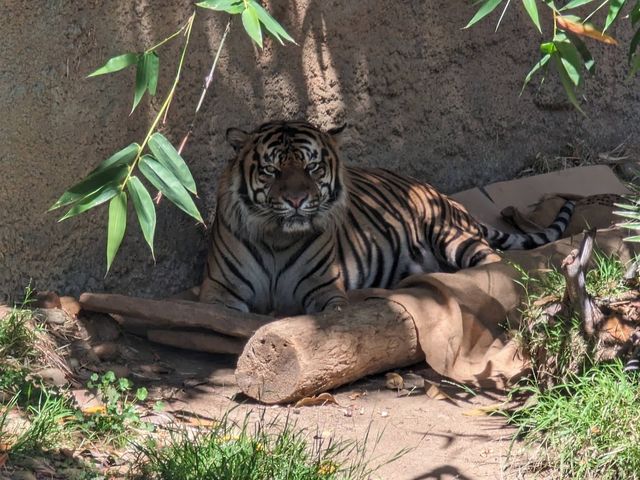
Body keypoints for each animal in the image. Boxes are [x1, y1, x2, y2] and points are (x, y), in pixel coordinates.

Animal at [201, 120, 576, 316]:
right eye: (271, 170)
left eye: (313, 167)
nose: (296, 199)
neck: (278, 238)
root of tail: (443, 193)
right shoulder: (220, 294)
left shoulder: (324, 289)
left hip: (451, 235)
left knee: (495, 263)